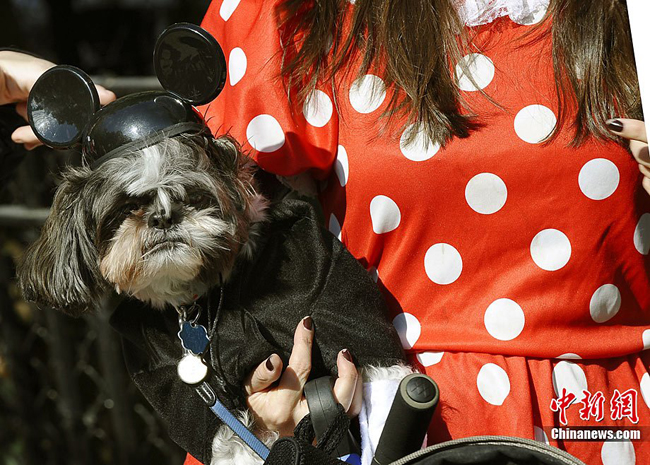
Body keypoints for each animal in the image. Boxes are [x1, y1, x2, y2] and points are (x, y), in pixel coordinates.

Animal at [20, 24, 412, 464]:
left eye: (193, 196)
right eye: (125, 209)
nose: (163, 216)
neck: (206, 299)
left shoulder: (334, 299)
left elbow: (383, 371)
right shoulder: (181, 387)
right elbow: (227, 437)